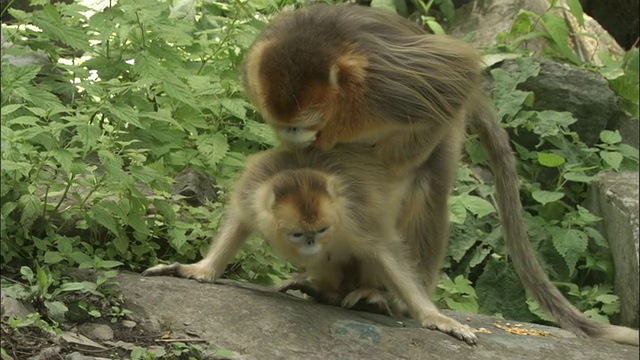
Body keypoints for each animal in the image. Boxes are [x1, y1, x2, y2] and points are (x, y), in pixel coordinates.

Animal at [144, 145, 476, 344]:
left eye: (322, 229)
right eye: (298, 234)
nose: (313, 243)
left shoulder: (355, 210)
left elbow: (384, 251)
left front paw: (435, 318)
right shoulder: (252, 191)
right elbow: (240, 222)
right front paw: (199, 270)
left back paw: (372, 298)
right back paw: (325, 293)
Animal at [241, 2, 640, 346]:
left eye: (301, 124)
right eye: (283, 126)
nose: (295, 137)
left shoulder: (391, 81)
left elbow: (458, 71)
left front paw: (378, 169)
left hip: (447, 125)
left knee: (425, 183)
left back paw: (383, 296)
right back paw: (330, 289)